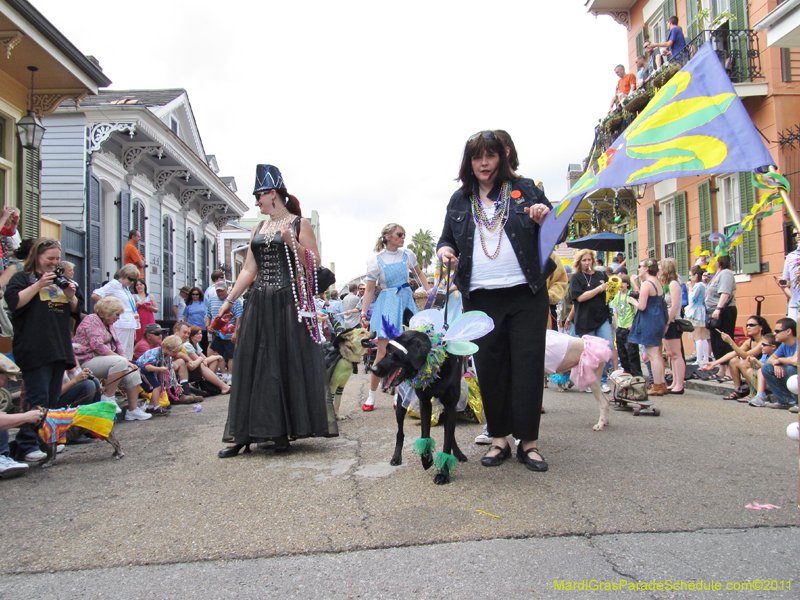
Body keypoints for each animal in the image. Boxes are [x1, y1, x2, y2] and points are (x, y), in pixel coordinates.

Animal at [370, 330, 466, 486]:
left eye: (392, 352)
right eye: (385, 350)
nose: (373, 369)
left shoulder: (451, 406)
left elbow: (447, 439)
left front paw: (443, 473)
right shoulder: (425, 402)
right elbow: (425, 434)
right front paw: (426, 460)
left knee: (450, 433)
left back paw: (458, 453)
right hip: (401, 405)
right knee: (400, 432)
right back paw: (396, 457)